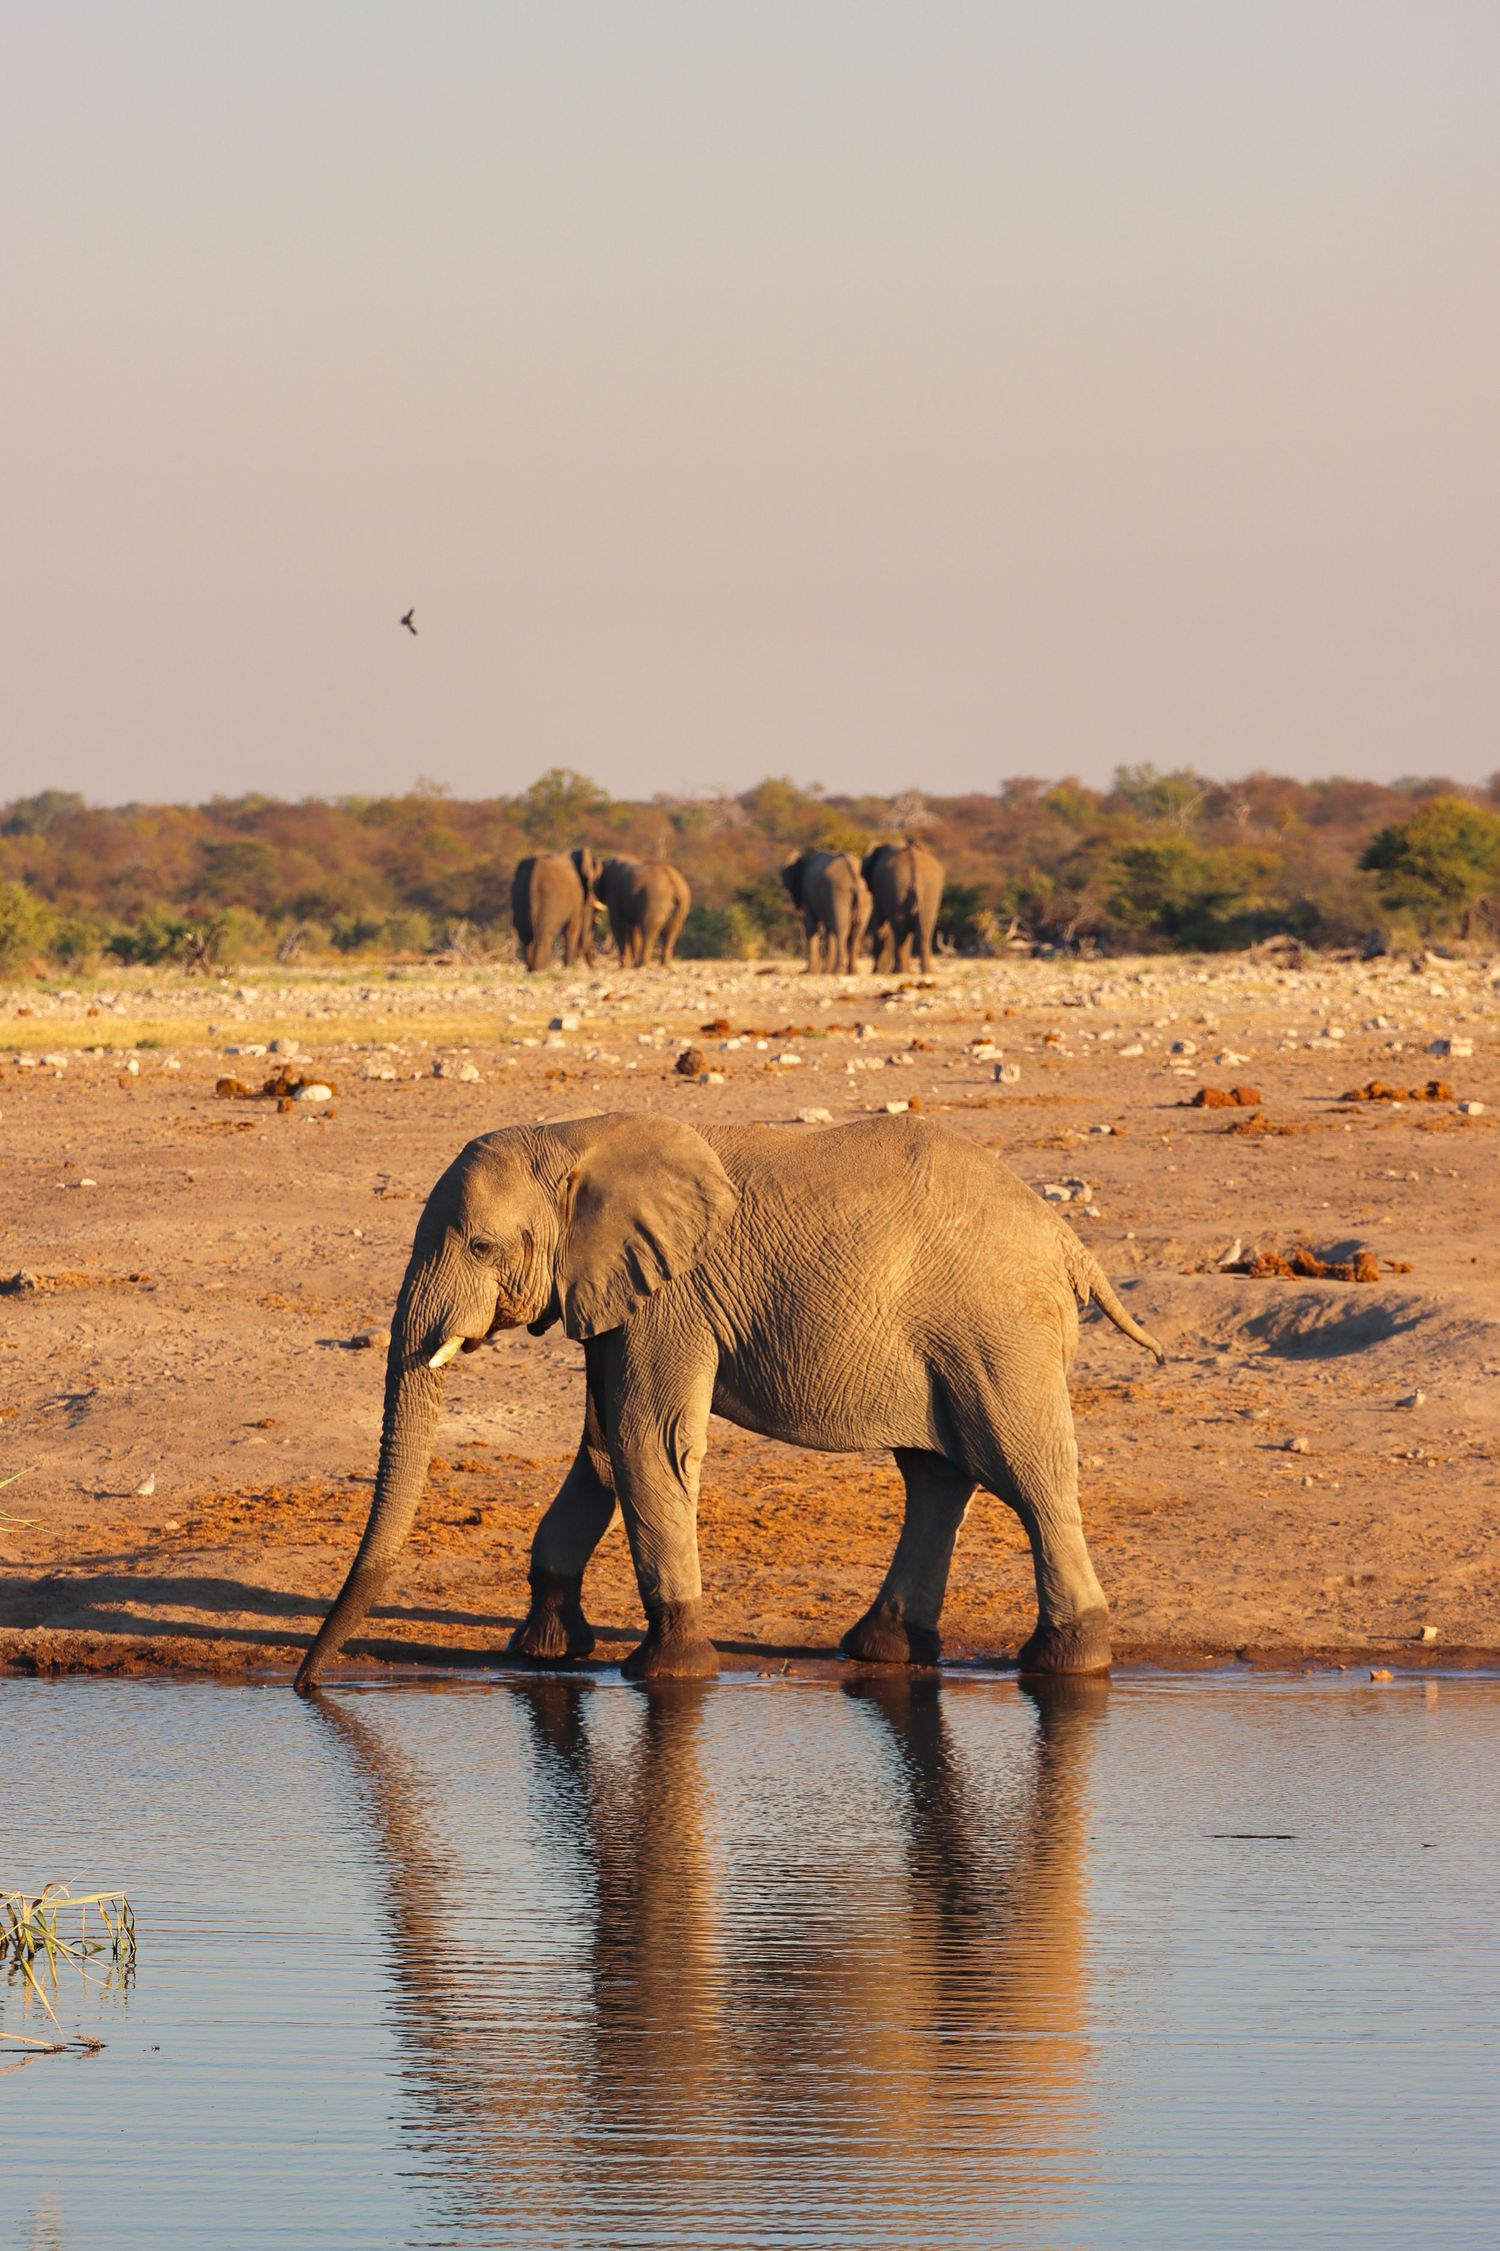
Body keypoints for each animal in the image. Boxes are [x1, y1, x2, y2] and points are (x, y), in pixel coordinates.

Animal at [294, 1111, 1163, 1695]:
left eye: (480, 1246)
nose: (307, 1685)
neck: (575, 1136)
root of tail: (1069, 1241)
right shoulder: (613, 1291)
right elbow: (602, 1448)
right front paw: (543, 1650)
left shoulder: (672, 1296)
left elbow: (646, 1442)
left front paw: (665, 1670)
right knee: (936, 1476)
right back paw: (880, 1649)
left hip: (997, 1330)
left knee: (1026, 1474)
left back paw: (1064, 1661)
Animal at [862, 840, 945, 975]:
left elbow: (879, 925)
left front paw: (878, 971)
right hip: (929, 890)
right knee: (923, 930)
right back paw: (925, 972)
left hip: (899, 887)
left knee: (900, 929)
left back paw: (900, 971)